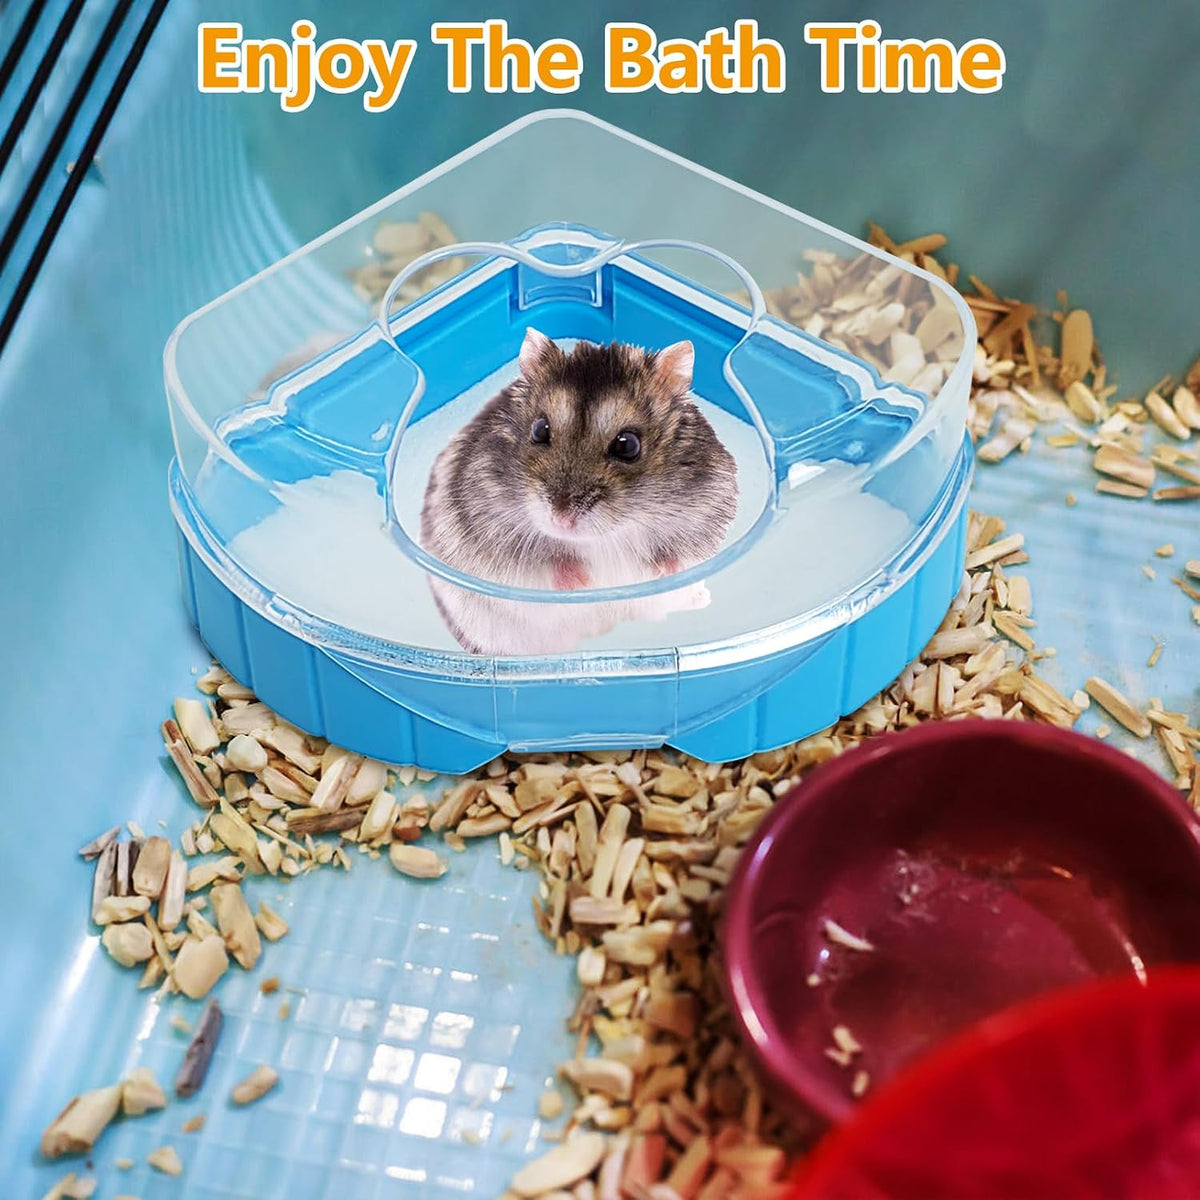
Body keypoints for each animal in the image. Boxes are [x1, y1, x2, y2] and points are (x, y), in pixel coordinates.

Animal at [419, 328, 738, 655]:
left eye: (628, 445)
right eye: (539, 430)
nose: (561, 520)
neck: (604, 538)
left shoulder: (704, 511)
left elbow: (677, 555)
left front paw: (667, 573)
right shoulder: (492, 529)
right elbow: (547, 562)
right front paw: (583, 584)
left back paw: (701, 598)